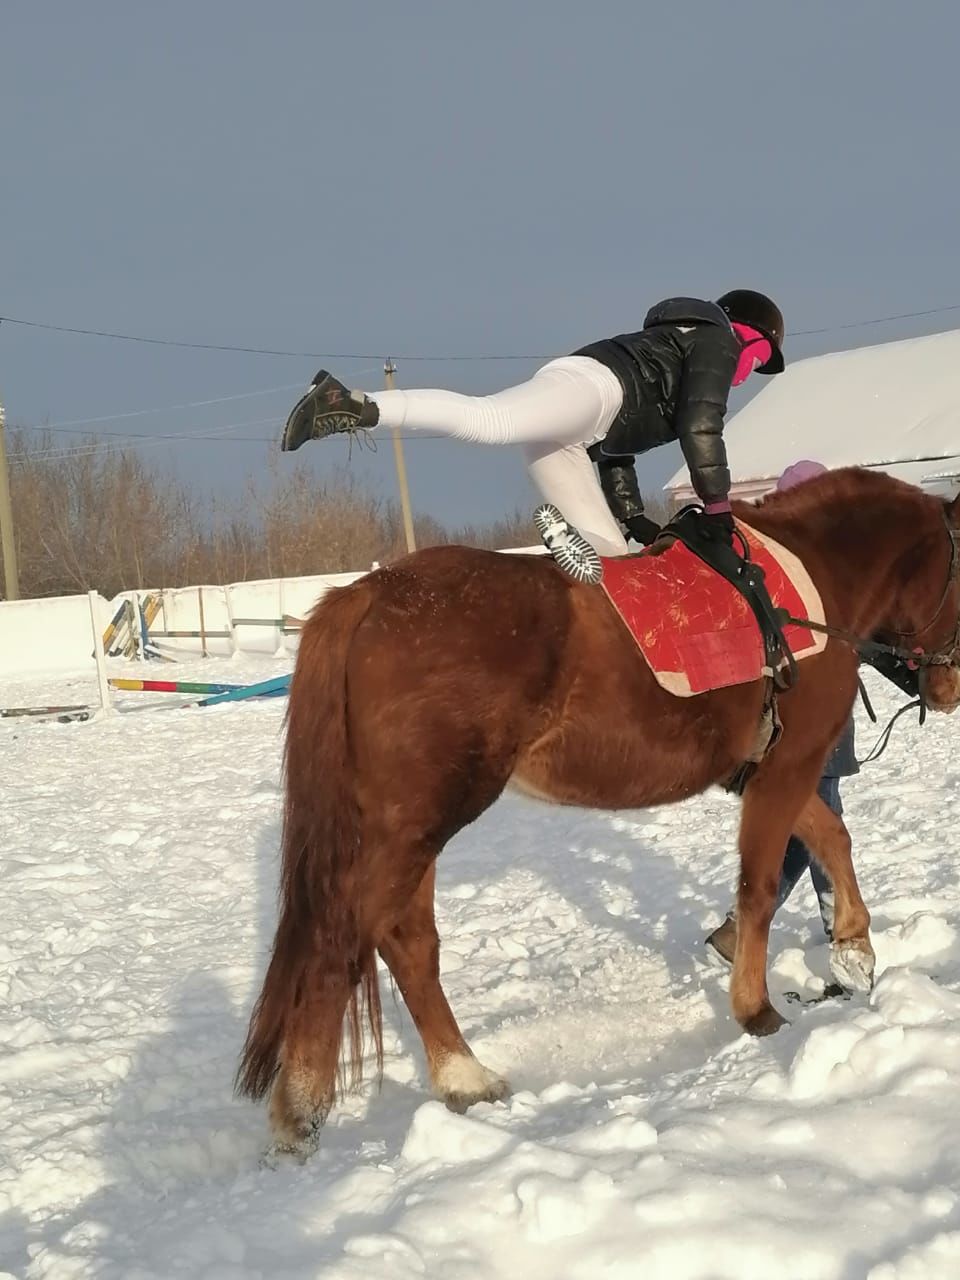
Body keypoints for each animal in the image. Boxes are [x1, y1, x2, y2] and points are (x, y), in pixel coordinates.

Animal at [239, 468, 960, 1152]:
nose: (949, 688)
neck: (813, 578)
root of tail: (368, 594)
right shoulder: (789, 765)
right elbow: (759, 886)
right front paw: (757, 1009)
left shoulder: (767, 771)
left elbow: (831, 837)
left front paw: (854, 945)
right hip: (419, 819)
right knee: (342, 940)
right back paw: (299, 1109)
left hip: (409, 825)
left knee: (404, 939)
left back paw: (461, 1076)